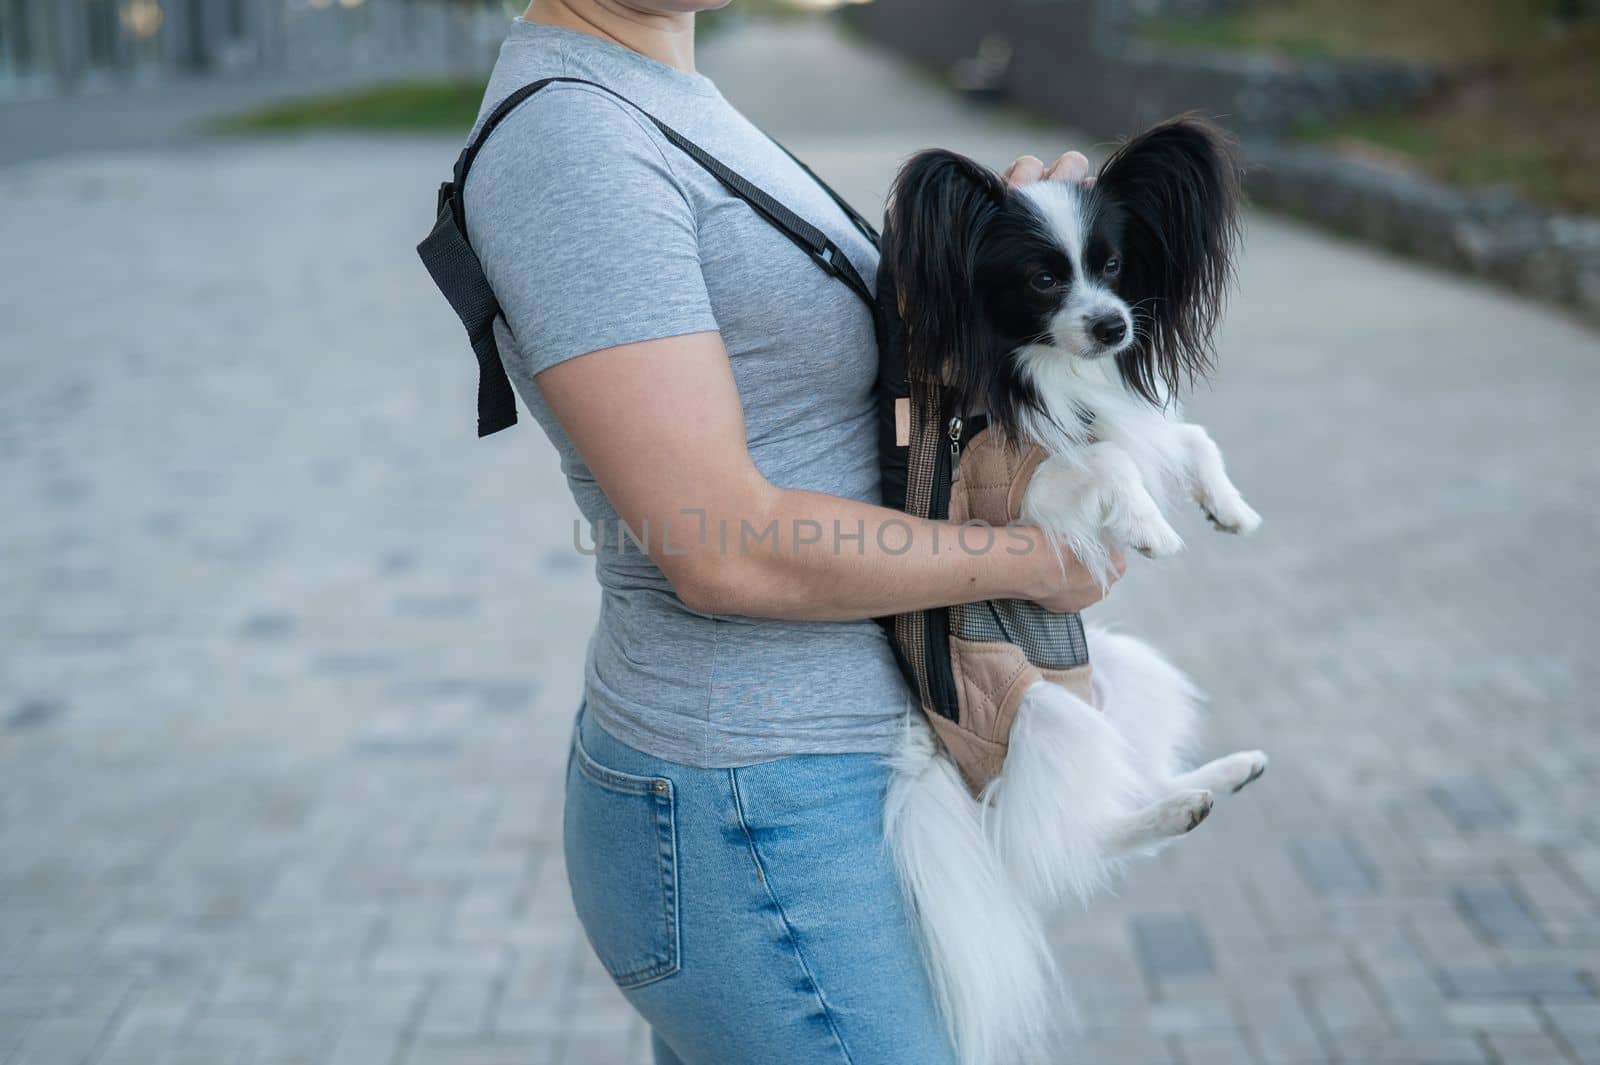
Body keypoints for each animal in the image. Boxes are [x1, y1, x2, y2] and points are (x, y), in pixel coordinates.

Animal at [883, 115, 1267, 1061]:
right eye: (1043, 278)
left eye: (1117, 264)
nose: (1113, 324)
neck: (1059, 377)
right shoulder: (1017, 493)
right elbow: (1109, 461)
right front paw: (1150, 527)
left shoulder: (1133, 417)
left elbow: (1183, 435)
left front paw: (1228, 507)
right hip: (1047, 713)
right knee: (1082, 838)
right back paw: (1181, 806)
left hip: (1123, 670)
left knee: (1132, 782)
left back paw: (1216, 780)